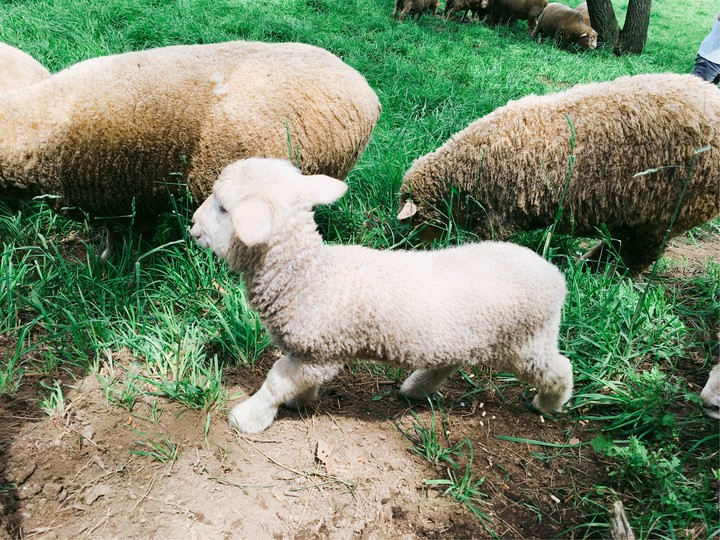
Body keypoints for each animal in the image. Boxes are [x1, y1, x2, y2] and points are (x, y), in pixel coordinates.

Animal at [190, 157, 573, 434]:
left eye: (222, 207)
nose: (192, 224)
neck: (308, 275)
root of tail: (554, 276)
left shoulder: (322, 353)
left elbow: (276, 382)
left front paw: (249, 417)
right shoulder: (311, 352)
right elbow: (296, 381)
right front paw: (302, 401)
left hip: (525, 341)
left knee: (559, 368)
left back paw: (549, 403)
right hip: (464, 335)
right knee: (450, 360)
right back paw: (417, 387)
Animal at [397, 73, 720, 274]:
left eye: (415, 221)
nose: (415, 251)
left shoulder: (497, 217)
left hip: (672, 214)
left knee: (637, 255)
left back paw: (600, 276)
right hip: (639, 211)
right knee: (621, 246)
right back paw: (587, 269)